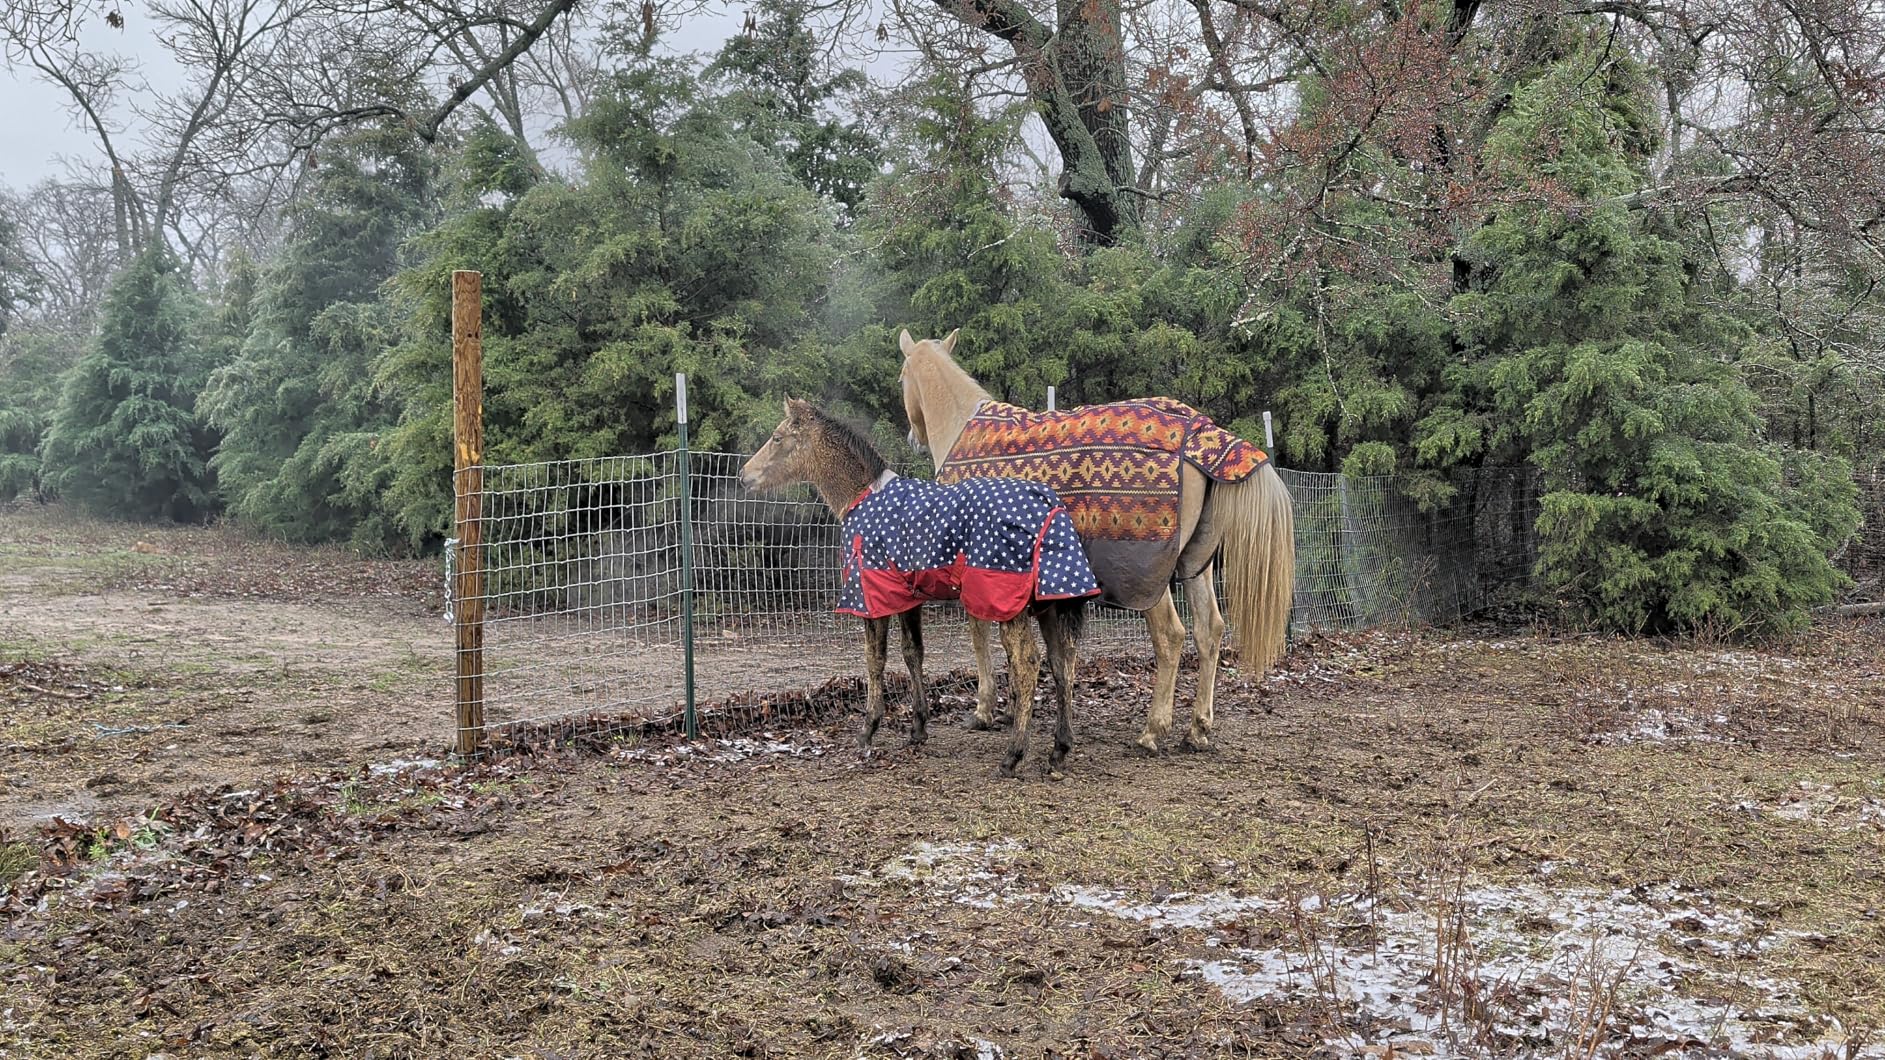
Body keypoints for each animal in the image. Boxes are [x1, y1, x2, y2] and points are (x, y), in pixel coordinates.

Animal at [739, 398, 1098, 777]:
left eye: (777, 437)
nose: (744, 475)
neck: (863, 496)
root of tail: (1051, 508)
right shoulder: (907, 597)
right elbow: (913, 653)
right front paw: (917, 728)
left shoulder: (871, 597)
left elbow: (875, 659)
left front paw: (868, 729)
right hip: (1050, 604)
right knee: (1062, 664)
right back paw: (1059, 749)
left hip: (1008, 605)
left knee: (1028, 665)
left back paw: (1013, 754)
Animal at [896, 329, 1296, 754]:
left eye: (902, 377)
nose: (912, 437)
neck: (962, 429)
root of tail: (1199, 433)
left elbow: (980, 636)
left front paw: (985, 710)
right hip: (1194, 565)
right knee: (1210, 631)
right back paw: (1198, 729)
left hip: (1148, 578)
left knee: (1172, 636)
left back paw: (1153, 730)